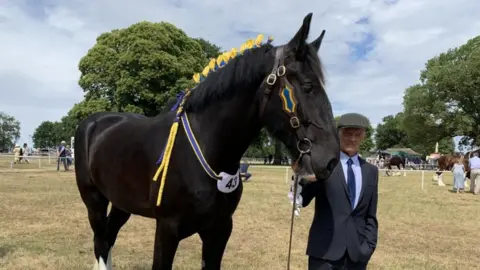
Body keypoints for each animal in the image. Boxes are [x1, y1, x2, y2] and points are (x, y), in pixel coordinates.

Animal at [74, 13, 342, 270]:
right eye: (307, 86)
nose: (330, 159)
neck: (206, 152)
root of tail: (94, 122)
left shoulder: (219, 231)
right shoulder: (167, 229)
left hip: (122, 203)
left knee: (108, 238)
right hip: (94, 201)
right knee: (101, 242)